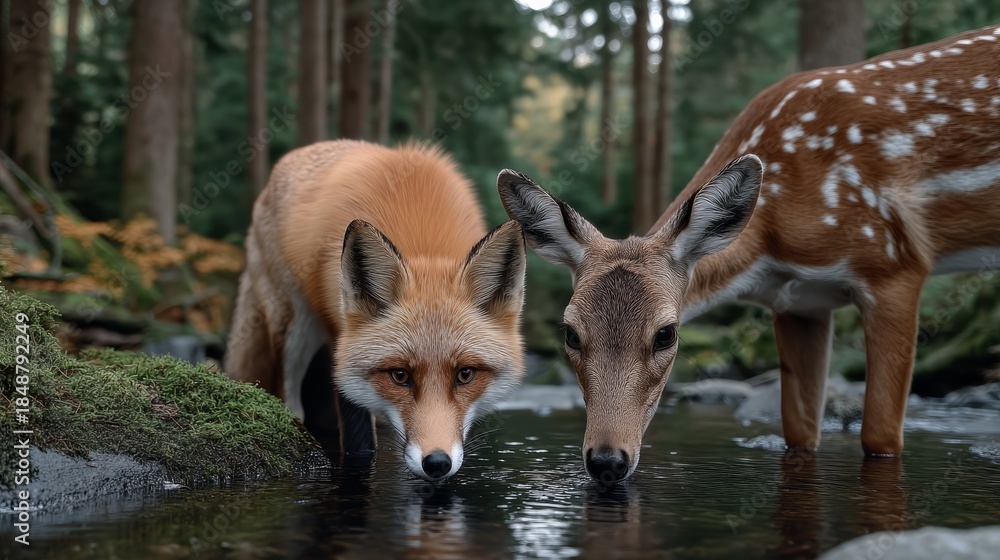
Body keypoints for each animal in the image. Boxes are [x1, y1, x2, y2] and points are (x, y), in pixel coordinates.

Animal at [225, 140, 527, 481]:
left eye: (465, 374)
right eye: (399, 375)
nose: (437, 463)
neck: (423, 238)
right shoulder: (341, 341)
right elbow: (359, 440)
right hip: (292, 326)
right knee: (291, 399)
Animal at [498, 24, 1000, 481]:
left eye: (667, 334)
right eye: (570, 333)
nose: (606, 461)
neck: (772, 241)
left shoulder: (894, 263)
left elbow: (880, 438)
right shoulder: (800, 302)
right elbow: (799, 434)